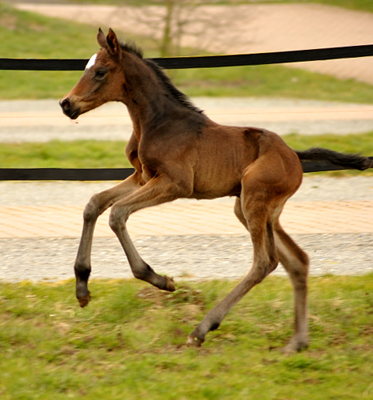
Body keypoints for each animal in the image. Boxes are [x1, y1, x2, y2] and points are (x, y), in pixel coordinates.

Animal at [59, 28, 370, 354]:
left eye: (100, 71)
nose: (66, 104)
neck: (157, 123)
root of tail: (294, 156)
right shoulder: (142, 178)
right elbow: (94, 204)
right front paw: (82, 287)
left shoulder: (175, 183)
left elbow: (117, 214)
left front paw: (159, 279)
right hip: (256, 209)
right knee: (297, 260)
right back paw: (297, 342)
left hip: (254, 200)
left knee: (264, 262)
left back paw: (202, 329)